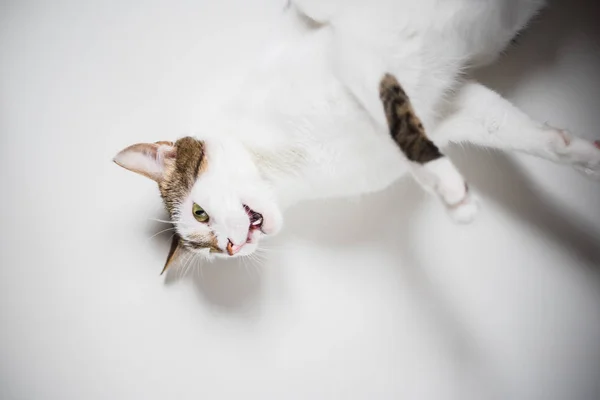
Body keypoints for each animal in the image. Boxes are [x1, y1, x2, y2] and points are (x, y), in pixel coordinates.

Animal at [113, 0, 600, 268]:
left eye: (198, 214)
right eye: (207, 249)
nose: (231, 247)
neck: (291, 168)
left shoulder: (354, 50)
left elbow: (393, 116)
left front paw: (447, 186)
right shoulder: (451, 107)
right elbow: (515, 130)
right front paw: (584, 153)